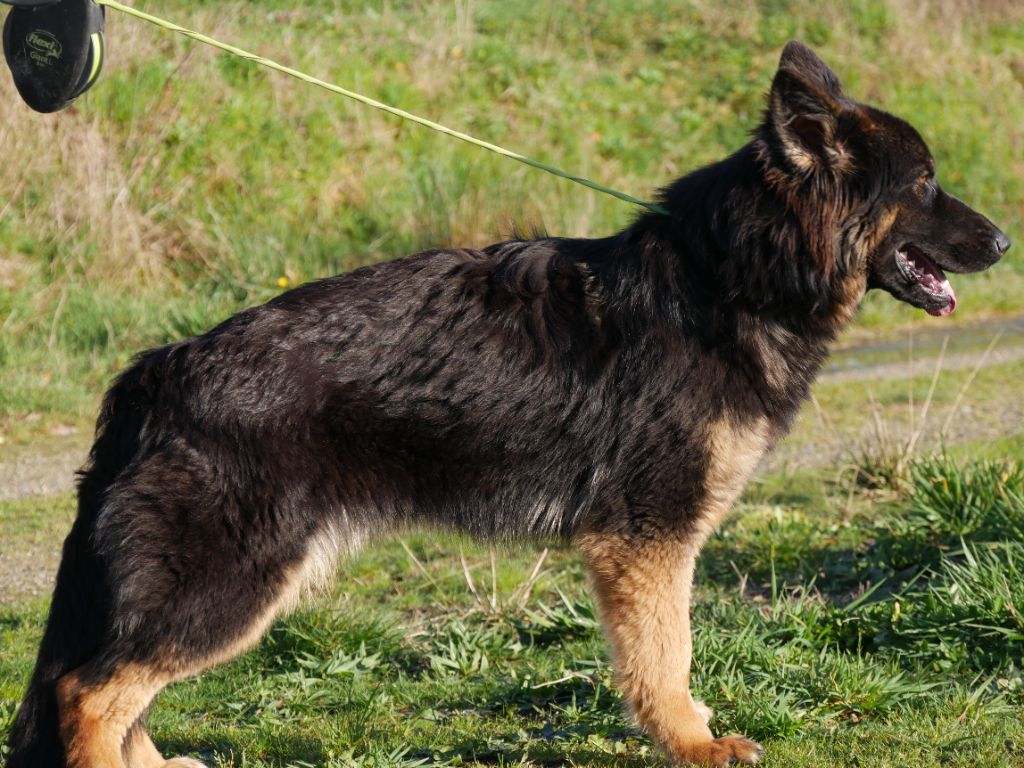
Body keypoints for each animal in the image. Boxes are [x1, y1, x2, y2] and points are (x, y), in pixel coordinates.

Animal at [6, 43, 1007, 768]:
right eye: (924, 183)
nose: (1003, 239)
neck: (731, 279)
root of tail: (155, 371)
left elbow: (665, 655)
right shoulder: (647, 540)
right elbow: (666, 655)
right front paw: (693, 745)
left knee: (111, 691)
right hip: (231, 580)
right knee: (88, 693)